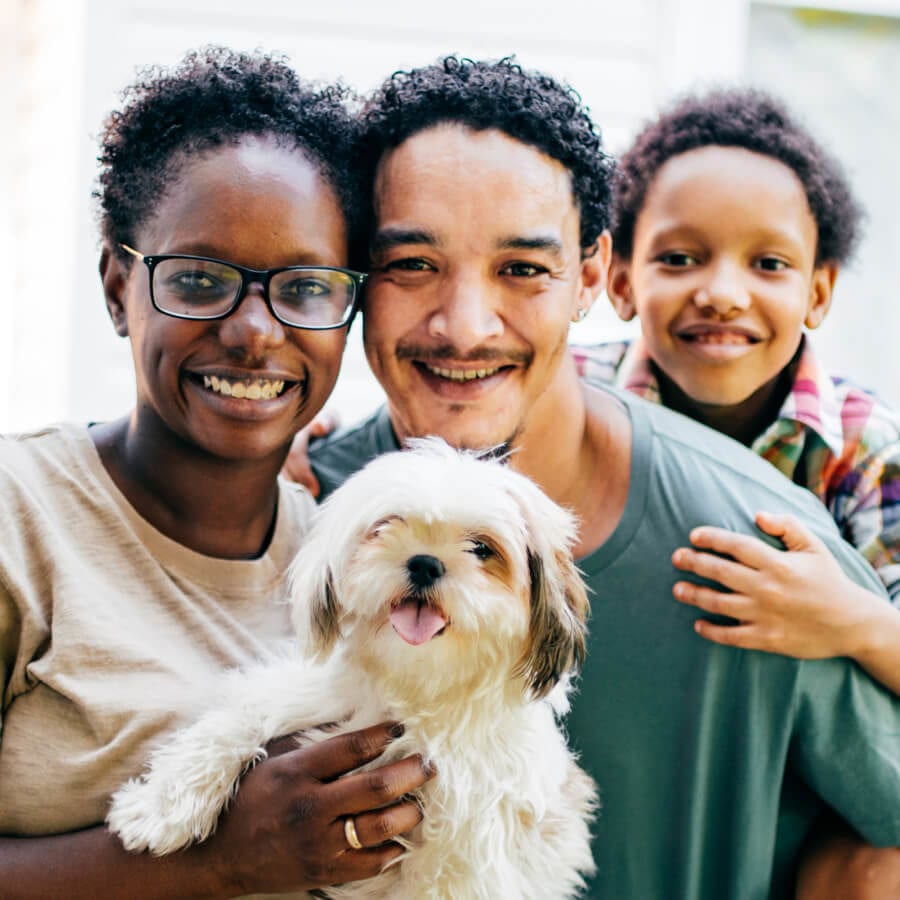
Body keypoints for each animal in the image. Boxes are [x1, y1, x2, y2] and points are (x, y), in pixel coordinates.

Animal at [107, 440, 596, 896]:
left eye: (481, 549)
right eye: (386, 526)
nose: (424, 563)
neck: (419, 683)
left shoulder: (464, 848)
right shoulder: (308, 692)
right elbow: (234, 720)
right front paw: (160, 809)